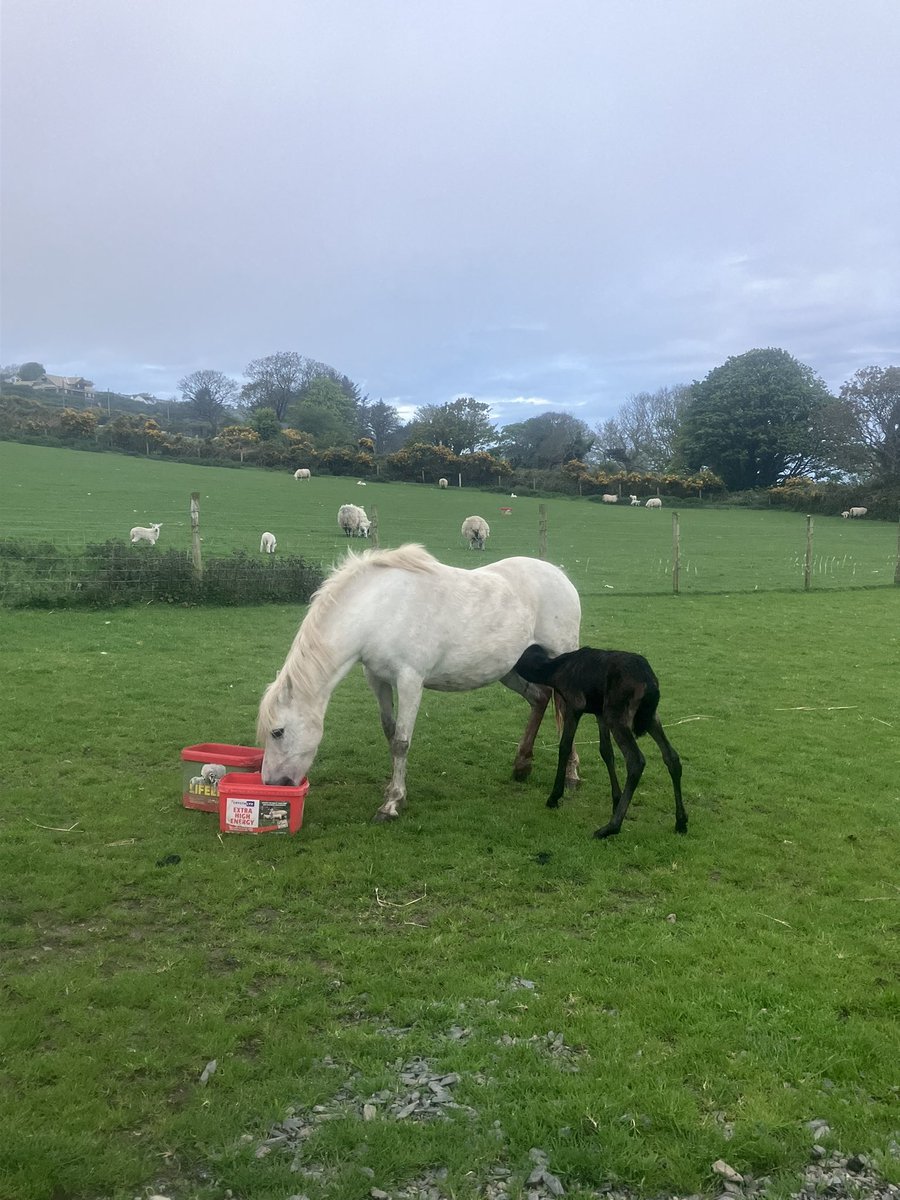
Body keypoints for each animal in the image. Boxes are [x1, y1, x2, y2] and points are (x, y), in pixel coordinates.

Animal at [257, 544, 582, 821]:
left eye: (277, 732)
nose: (273, 783)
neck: (377, 610)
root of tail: (560, 575)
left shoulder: (410, 680)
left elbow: (402, 742)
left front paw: (390, 805)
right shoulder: (377, 679)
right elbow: (390, 733)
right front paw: (394, 791)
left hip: (560, 654)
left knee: (567, 711)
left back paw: (571, 775)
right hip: (511, 668)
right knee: (539, 698)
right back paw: (522, 765)